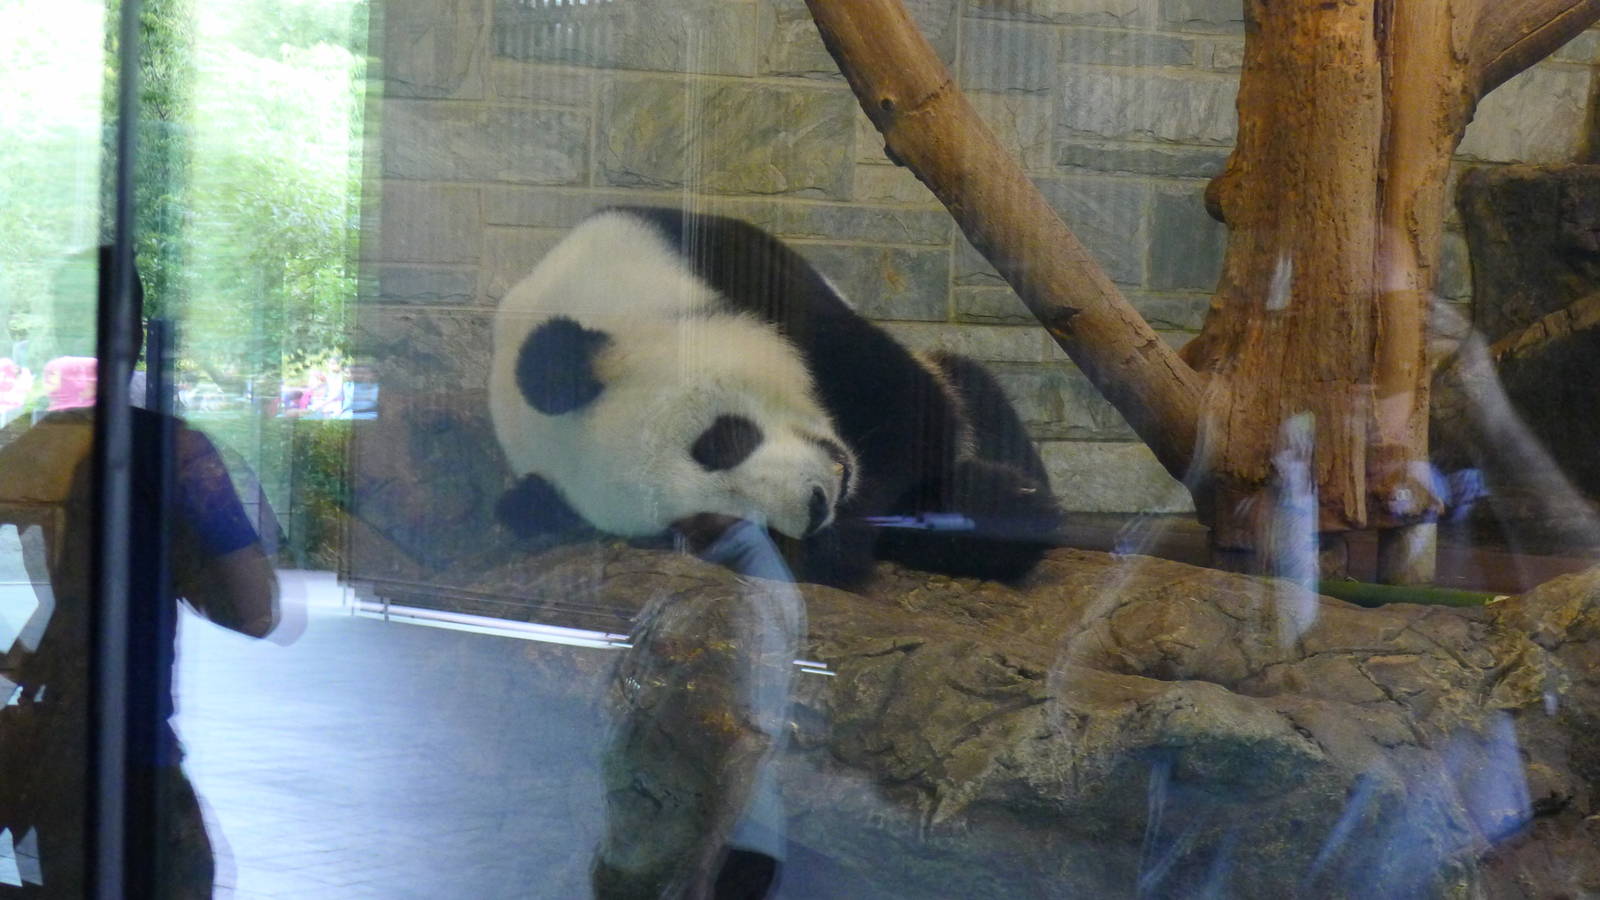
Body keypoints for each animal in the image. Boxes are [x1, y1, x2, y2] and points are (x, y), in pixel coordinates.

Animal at [488, 206, 1062, 587]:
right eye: (709, 524)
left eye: (721, 441)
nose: (814, 505)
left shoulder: (722, 266)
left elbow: (906, 408)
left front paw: (992, 505)